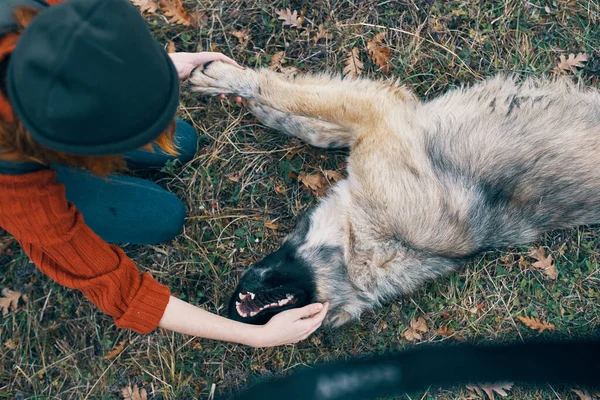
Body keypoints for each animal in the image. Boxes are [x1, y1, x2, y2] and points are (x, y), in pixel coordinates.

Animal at [190, 61, 600, 326]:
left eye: (298, 314)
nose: (232, 312)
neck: (363, 239)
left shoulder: (379, 114)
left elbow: (296, 97)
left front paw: (233, 81)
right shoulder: (377, 117)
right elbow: (315, 127)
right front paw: (262, 109)